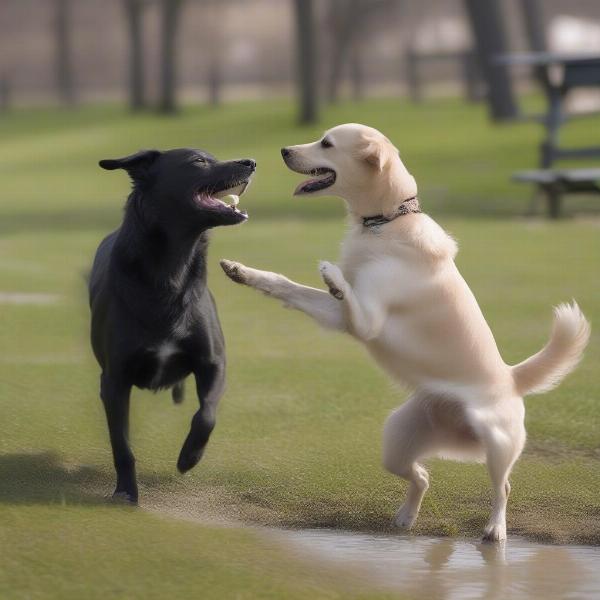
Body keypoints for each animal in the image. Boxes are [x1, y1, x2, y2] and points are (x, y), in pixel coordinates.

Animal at [88, 149, 253, 502]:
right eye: (198, 161)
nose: (251, 162)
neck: (171, 270)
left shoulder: (213, 363)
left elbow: (206, 415)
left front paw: (189, 457)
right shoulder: (114, 381)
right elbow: (122, 445)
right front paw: (126, 492)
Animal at [220, 124, 592, 540]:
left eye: (327, 144)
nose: (283, 151)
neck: (385, 221)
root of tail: (512, 378)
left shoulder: (364, 321)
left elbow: (342, 292)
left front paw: (332, 275)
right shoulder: (339, 318)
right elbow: (283, 285)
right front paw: (241, 271)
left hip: (495, 442)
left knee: (503, 487)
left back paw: (495, 528)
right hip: (394, 441)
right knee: (423, 477)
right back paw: (406, 516)